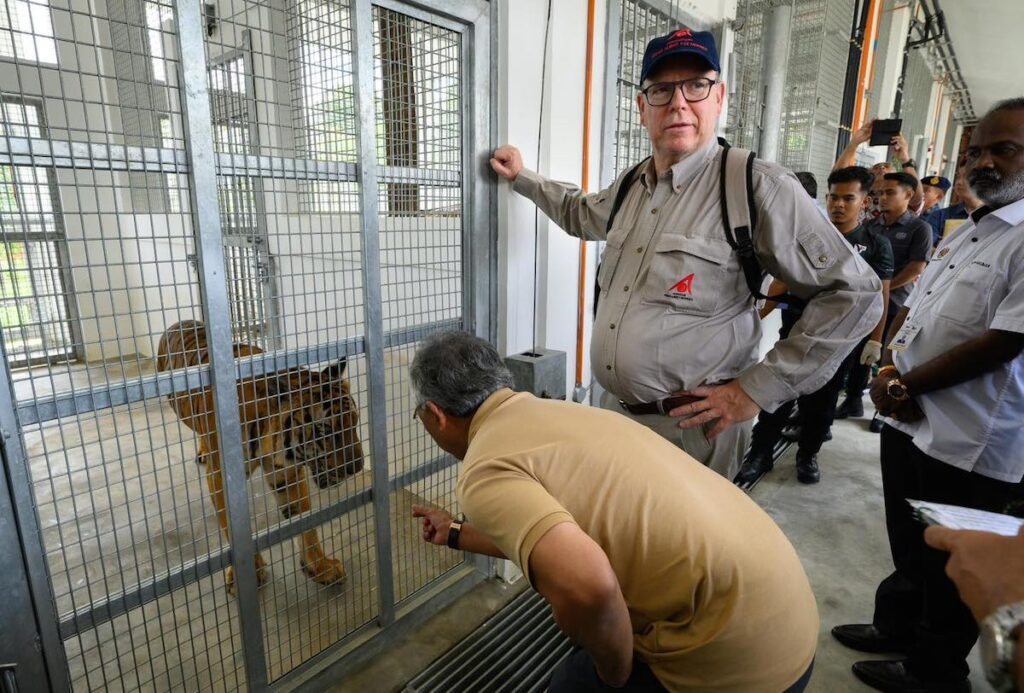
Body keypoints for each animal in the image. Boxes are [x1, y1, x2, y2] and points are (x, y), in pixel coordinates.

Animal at [157, 321, 366, 593]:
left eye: (355, 422)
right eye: (325, 430)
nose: (358, 467)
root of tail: (179, 322)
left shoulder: (286, 472)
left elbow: (304, 521)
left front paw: (320, 567)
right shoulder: (222, 479)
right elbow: (233, 528)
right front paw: (246, 576)